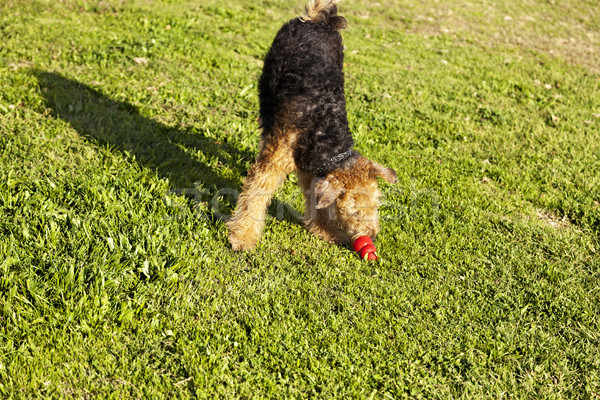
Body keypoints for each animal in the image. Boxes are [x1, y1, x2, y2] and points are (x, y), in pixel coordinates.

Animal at [227, 0, 396, 250]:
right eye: (354, 211)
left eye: (376, 203)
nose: (372, 236)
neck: (323, 130)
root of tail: (317, 19)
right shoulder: (274, 164)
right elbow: (256, 194)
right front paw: (243, 236)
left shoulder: (312, 171)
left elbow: (316, 203)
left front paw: (327, 232)